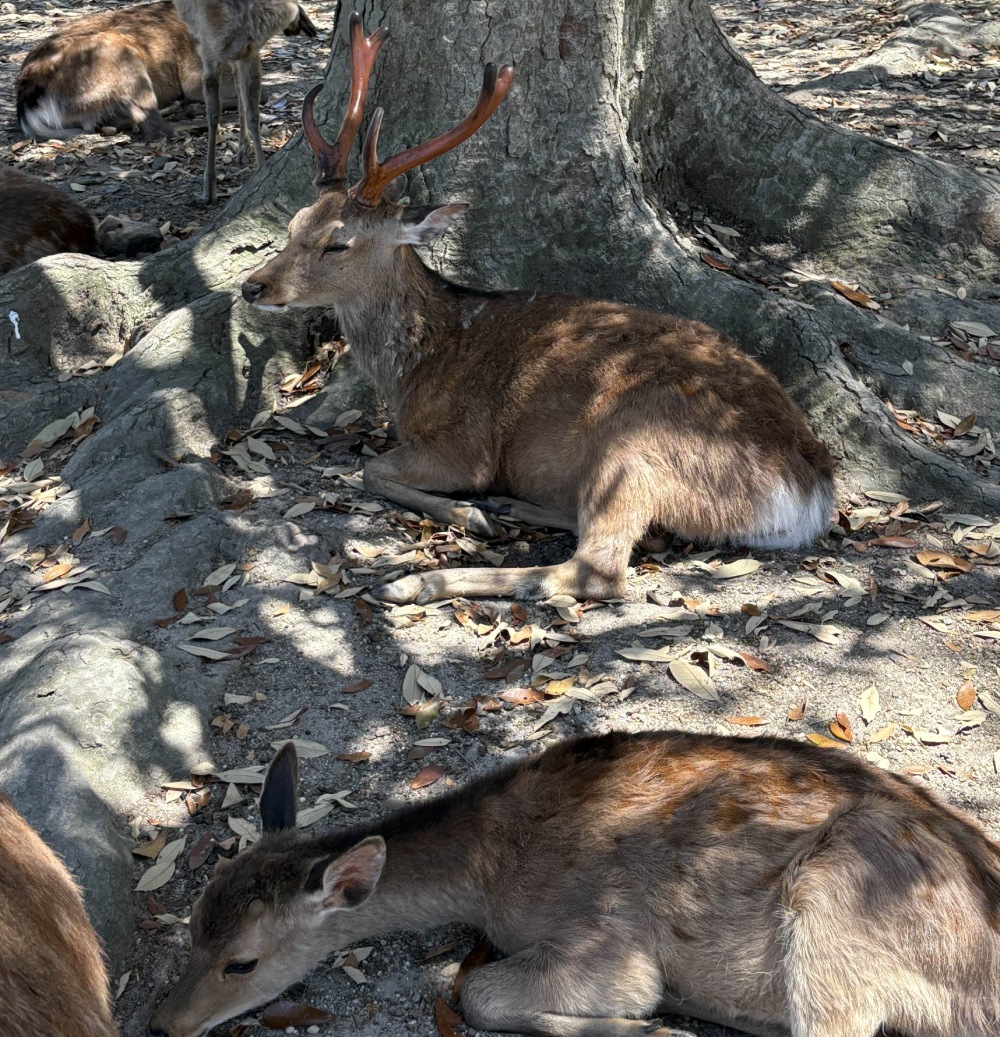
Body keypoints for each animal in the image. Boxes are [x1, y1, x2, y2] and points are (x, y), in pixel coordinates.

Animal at [16, 1, 314, 143]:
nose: (306, 27)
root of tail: (27, 103)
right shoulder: (196, 74)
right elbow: (263, 94)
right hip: (121, 55)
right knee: (158, 128)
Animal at [148, 730, 1000, 1037]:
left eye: (243, 961)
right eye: (190, 928)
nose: (164, 1023)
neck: (495, 871)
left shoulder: (609, 941)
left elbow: (477, 991)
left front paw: (647, 1023)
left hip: (834, 913)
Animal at [172, 0, 319, 203]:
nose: (306, 27)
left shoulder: (250, 51)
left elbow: (253, 114)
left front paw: (262, 172)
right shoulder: (210, 50)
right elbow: (214, 114)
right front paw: (209, 186)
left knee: (237, 80)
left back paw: (243, 148)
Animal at [241, 16, 835, 604]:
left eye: (337, 243)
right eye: (294, 223)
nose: (253, 286)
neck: (421, 366)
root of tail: (809, 495)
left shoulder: (465, 445)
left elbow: (372, 471)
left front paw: (469, 515)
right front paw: (479, 512)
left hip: (635, 448)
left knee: (596, 570)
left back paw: (421, 579)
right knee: (635, 538)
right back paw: (511, 506)